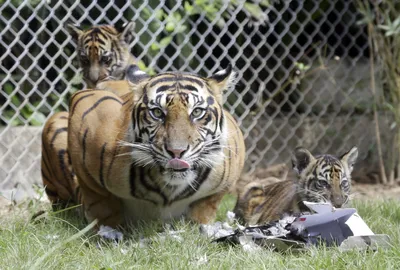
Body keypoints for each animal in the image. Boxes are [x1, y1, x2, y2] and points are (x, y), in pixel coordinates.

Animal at [42, 63, 245, 230]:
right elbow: (101, 203)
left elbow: (205, 207)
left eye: (196, 112)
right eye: (157, 113)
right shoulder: (85, 110)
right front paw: (108, 234)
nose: (176, 151)